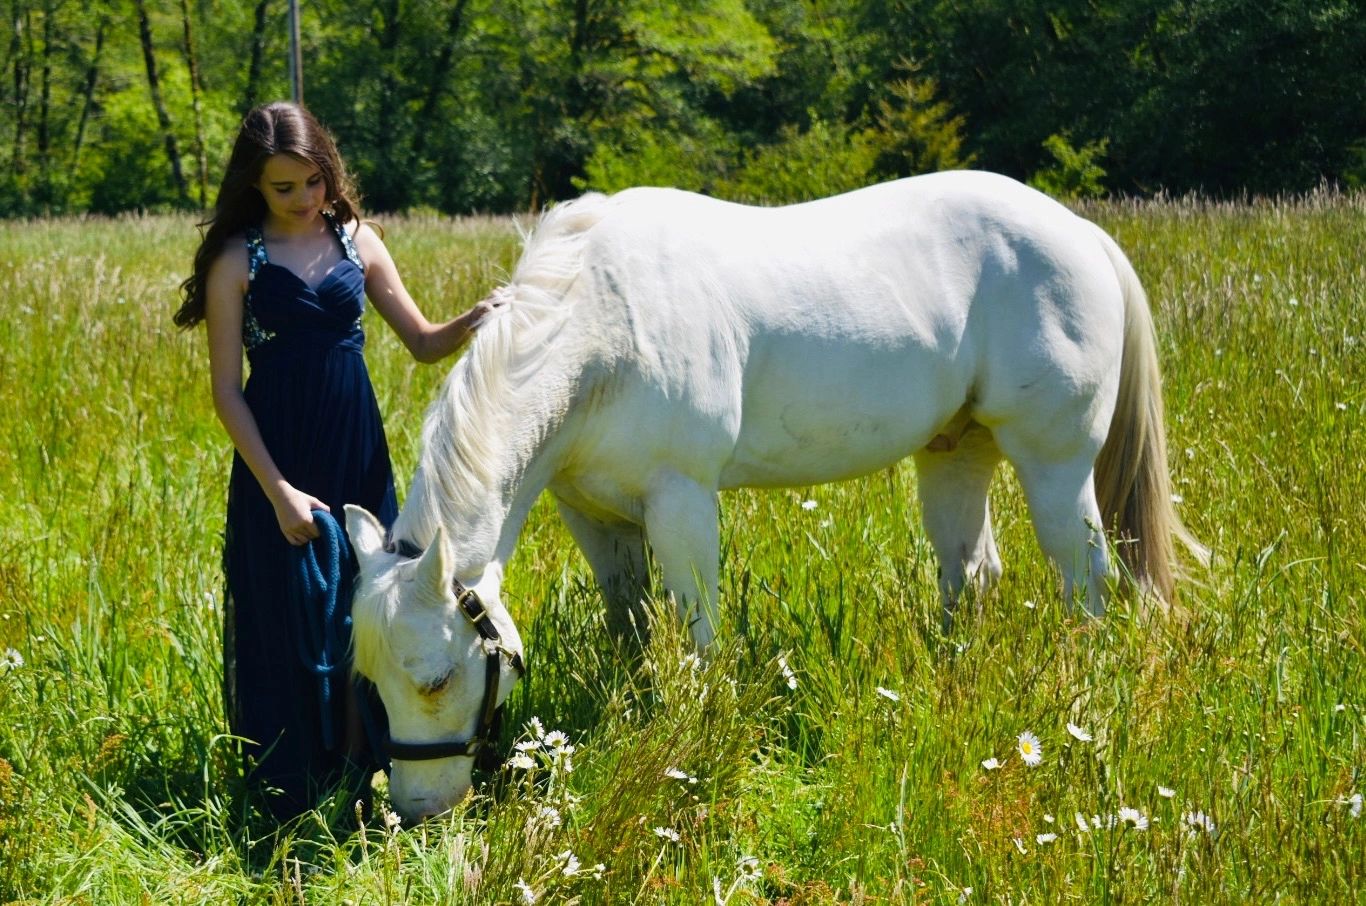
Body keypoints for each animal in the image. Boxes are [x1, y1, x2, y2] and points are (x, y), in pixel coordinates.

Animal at [344, 170, 1204, 821]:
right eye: (372, 683)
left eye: (436, 680)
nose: (417, 811)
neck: (598, 327)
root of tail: (1080, 232)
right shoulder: (591, 514)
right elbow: (632, 624)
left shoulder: (683, 501)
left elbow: (696, 631)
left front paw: (692, 736)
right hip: (956, 454)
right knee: (971, 574)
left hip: (1055, 463)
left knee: (1084, 582)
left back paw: (1081, 690)